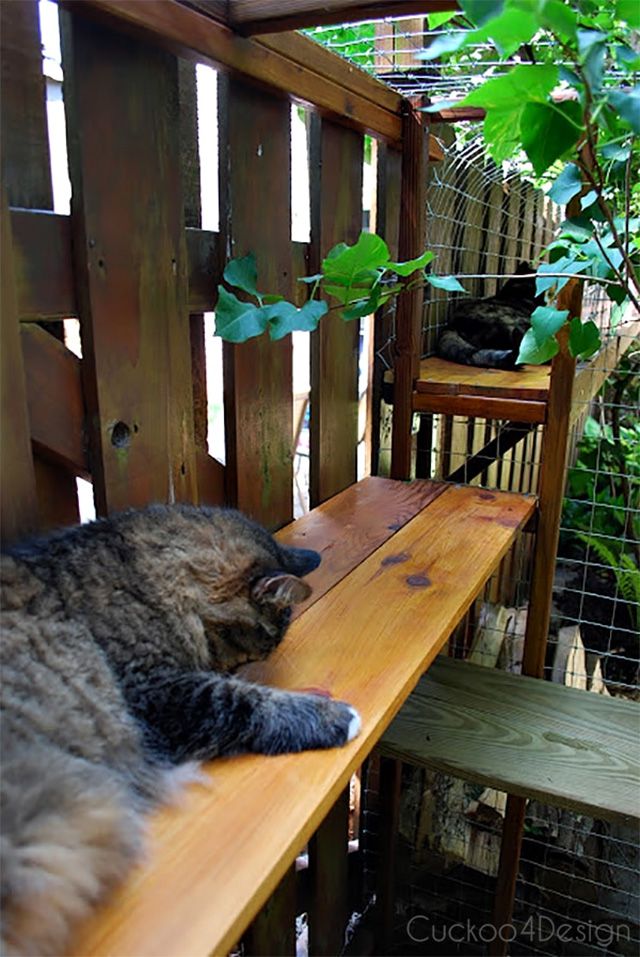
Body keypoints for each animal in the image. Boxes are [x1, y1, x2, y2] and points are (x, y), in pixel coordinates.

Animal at [0, 504, 360, 952]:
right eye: (255, 649)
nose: (233, 670)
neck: (137, 580)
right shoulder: (155, 694)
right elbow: (242, 703)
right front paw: (336, 717)